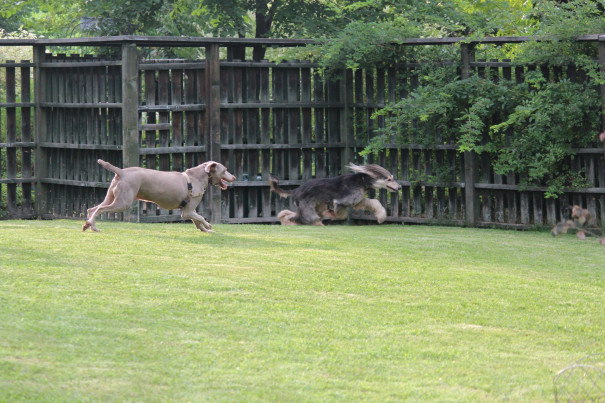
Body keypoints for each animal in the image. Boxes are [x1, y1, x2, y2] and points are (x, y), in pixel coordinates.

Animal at [84, 159, 235, 234]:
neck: (197, 177)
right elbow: (201, 218)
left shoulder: (190, 210)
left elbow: (197, 220)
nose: (233, 177)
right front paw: (208, 225)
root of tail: (121, 171)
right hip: (123, 202)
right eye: (225, 170)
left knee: (92, 209)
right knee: (100, 209)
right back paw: (92, 225)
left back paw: (90, 225)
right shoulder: (187, 211)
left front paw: (206, 230)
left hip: (112, 196)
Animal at [268, 164, 402, 227]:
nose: (399, 187)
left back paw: (285, 220)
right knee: (307, 218)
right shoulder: (340, 202)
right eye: (389, 179)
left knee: (292, 215)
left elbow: (374, 202)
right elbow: (341, 215)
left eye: (392, 178)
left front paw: (381, 217)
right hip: (307, 207)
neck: (362, 181)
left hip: (316, 206)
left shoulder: (357, 201)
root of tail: (296, 190)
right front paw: (332, 214)